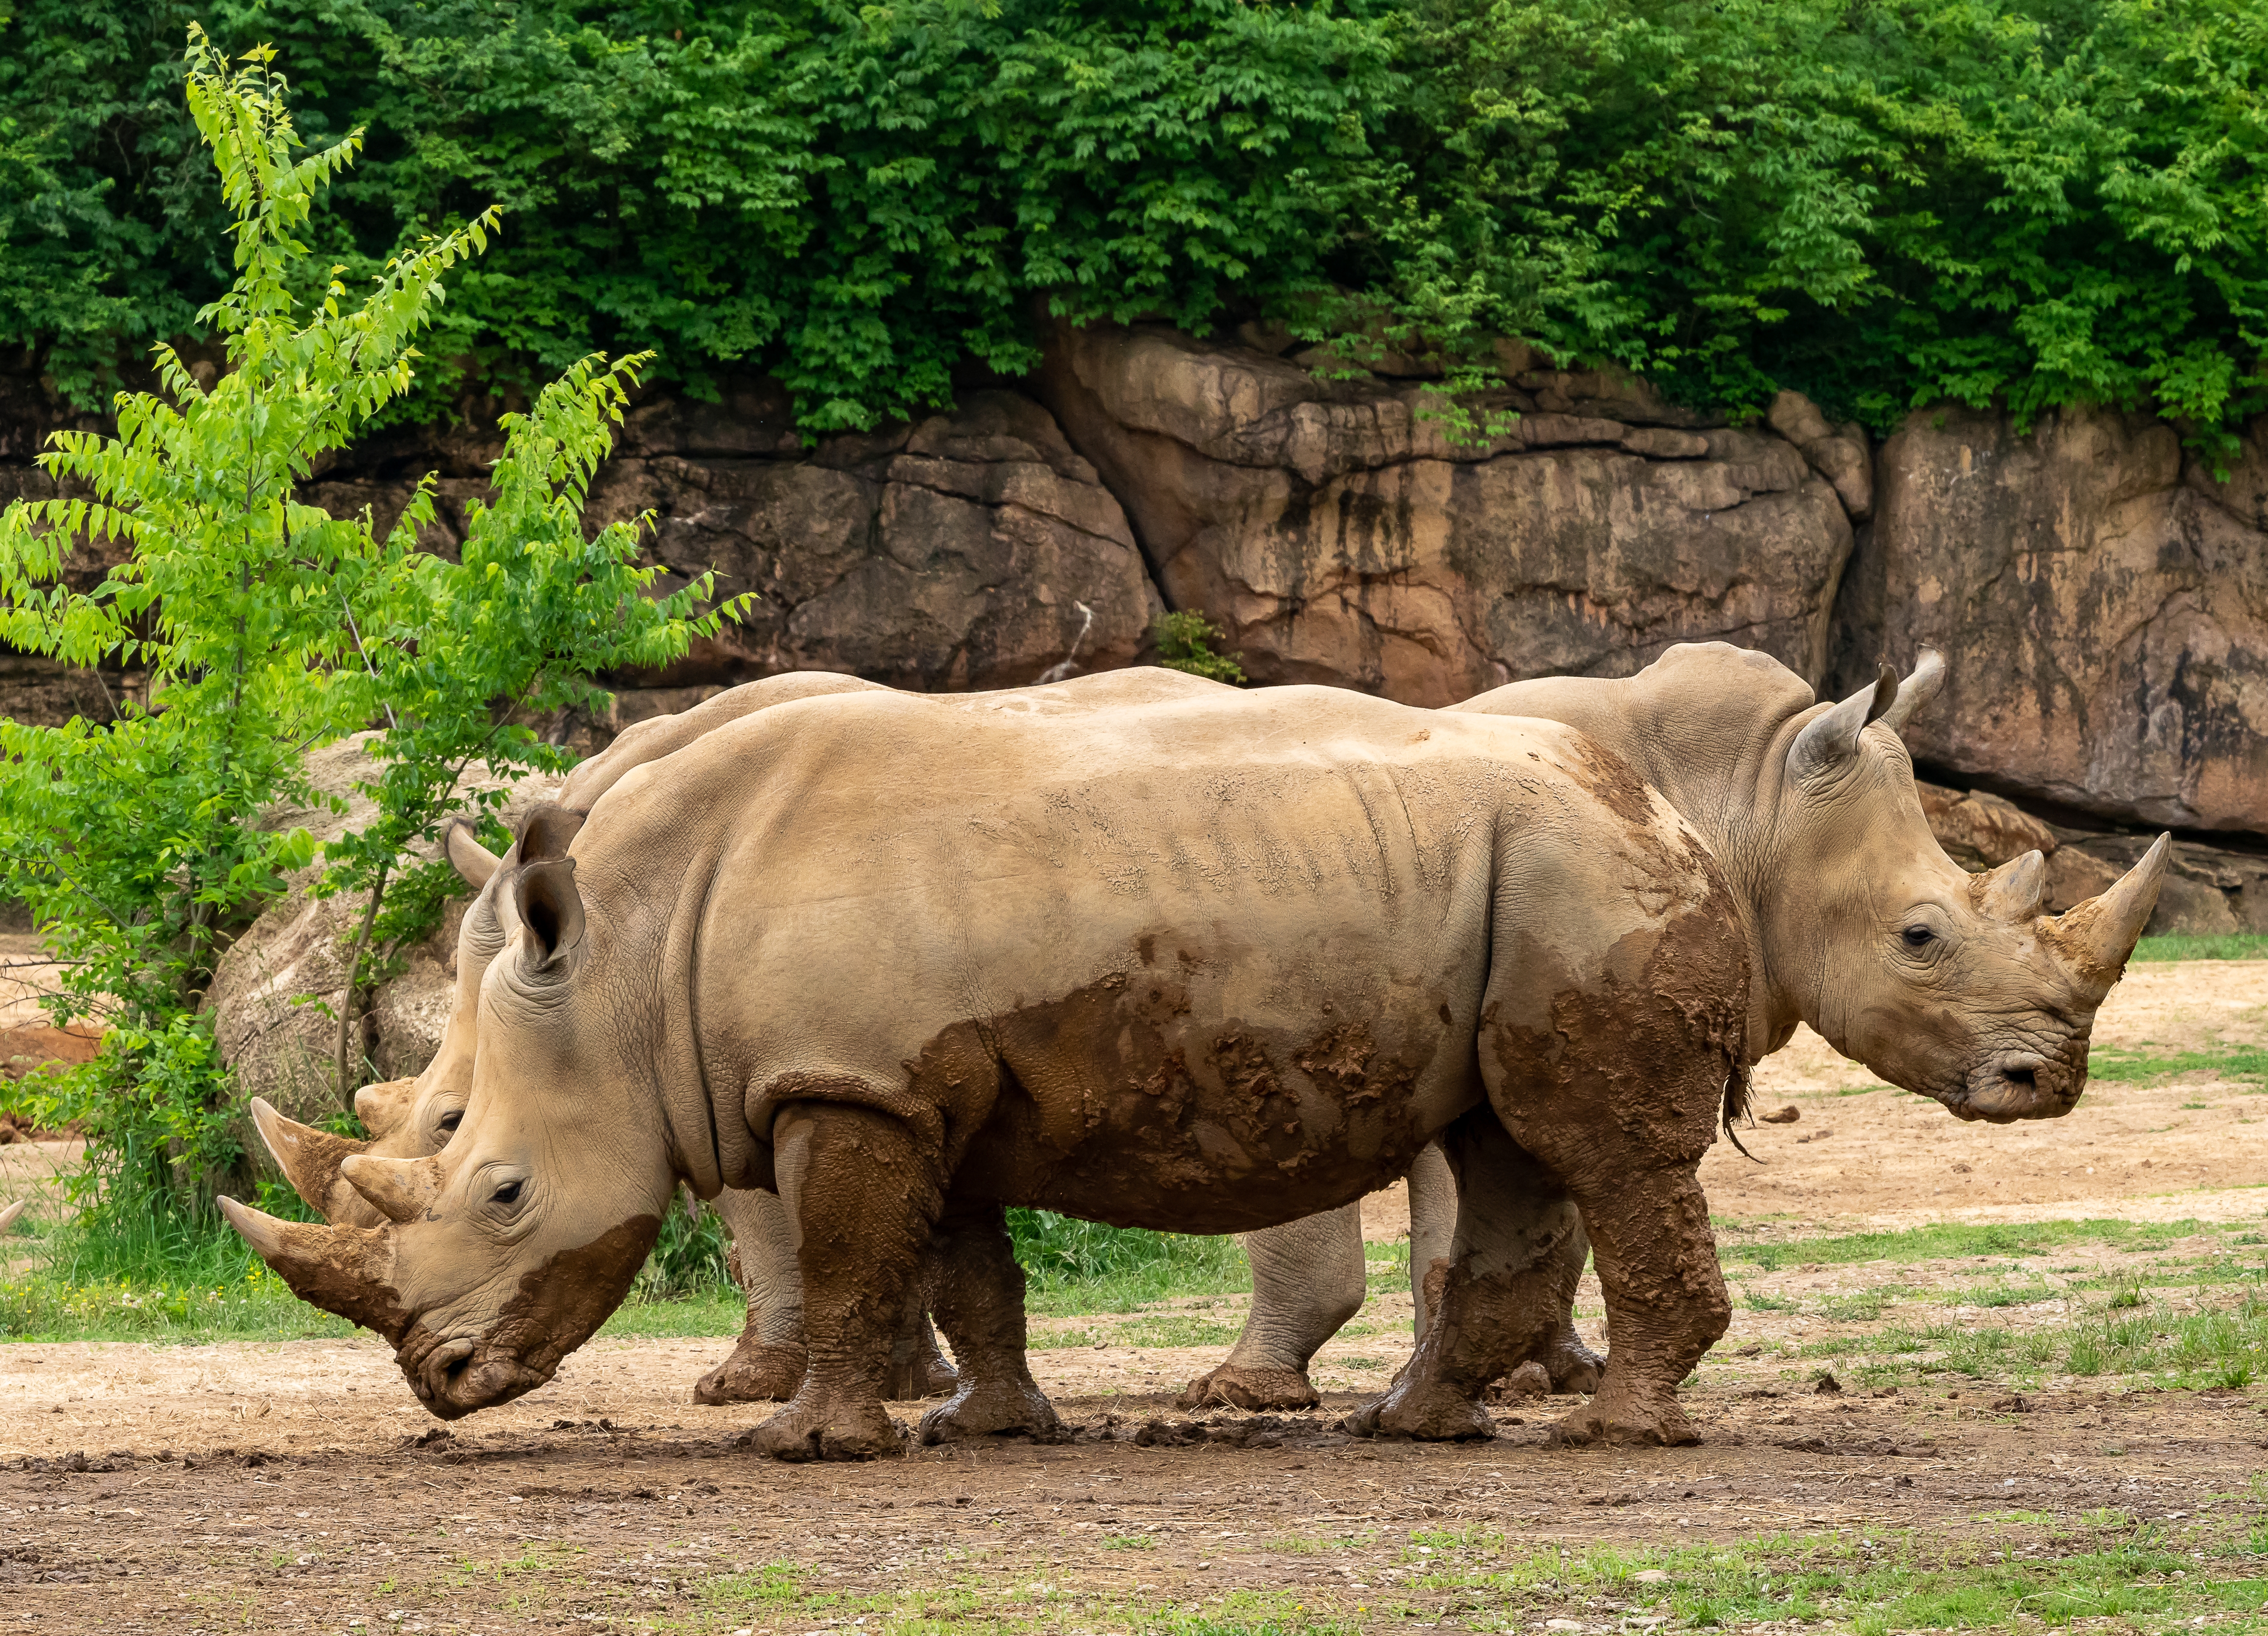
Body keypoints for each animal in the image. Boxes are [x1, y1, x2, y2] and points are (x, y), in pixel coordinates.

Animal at [225, 678, 1771, 1454]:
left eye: (500, 1188)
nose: (438, 1377)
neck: (628, 965)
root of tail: (1671, 812)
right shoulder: (915, 1085)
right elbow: (960, 1268)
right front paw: (990, 1424)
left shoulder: (850, 1079)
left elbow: (850, 1262)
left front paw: (808, 1446)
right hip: (1525, 876)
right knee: (1502, 1145)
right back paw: (1417, 1426)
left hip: (1579, 875)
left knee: (1595, 1147)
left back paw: (1615, 1435)